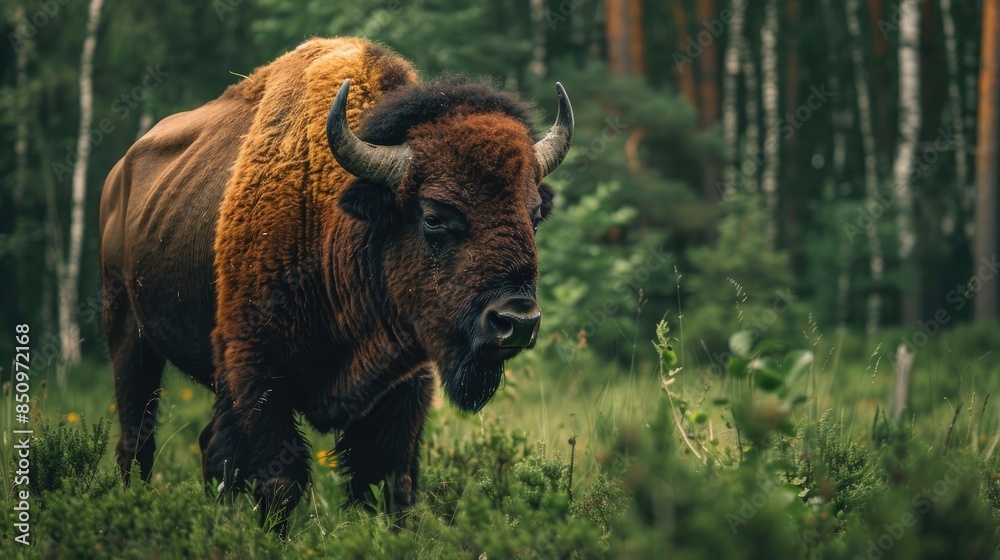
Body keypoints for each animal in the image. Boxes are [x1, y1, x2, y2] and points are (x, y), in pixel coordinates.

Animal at [99, 37, 573, 533]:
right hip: (127, 330)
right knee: (138, 440)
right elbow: (280, 482)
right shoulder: (255, 368)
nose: (517, 321)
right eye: (433, 217)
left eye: (534, 214)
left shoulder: (405, 384)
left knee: (209, 446)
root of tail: (118, 176)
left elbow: (389, 482)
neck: (340, 227)